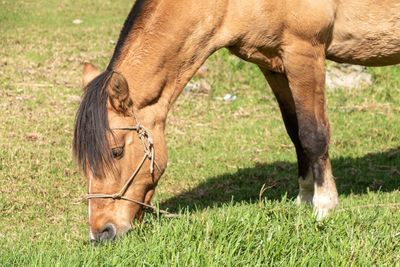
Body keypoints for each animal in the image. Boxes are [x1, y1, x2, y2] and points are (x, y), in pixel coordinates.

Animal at [72, 0, 400, 243]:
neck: (228, 5)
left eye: (116, 151)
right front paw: (305, 198)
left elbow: (312, 134)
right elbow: (294, 132)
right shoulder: (275, 65)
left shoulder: (304, 52)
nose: (101, 232)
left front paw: (324, 205)